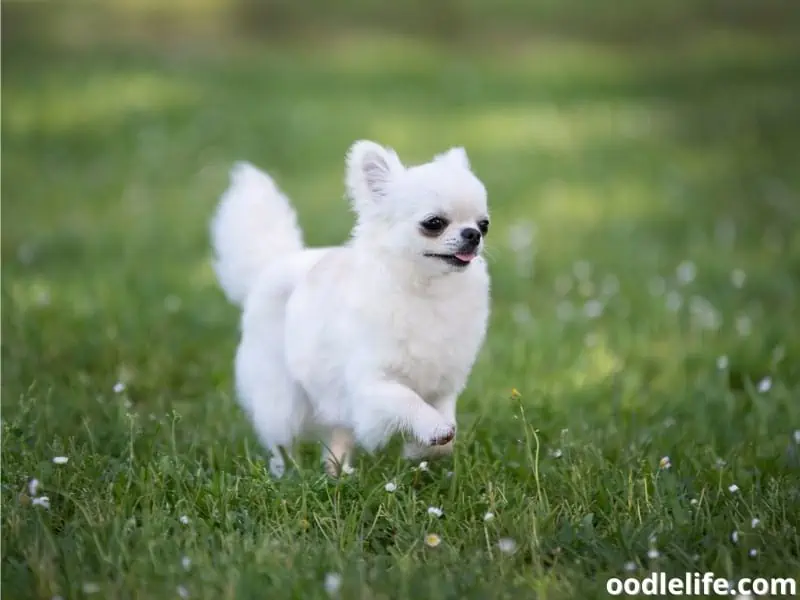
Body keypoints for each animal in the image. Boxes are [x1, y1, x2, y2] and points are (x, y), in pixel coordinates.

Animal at [209, 141, 490, 478]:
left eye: (484, 224)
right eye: (434, 223)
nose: (473, 234)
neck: (427, 290)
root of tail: (274, 264)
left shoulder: (444, 385)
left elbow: (448, 426)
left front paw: (421, 448)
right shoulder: (371, 384)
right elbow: (406, 399)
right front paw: (431, 428)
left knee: (337, 435)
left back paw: (337, 472)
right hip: (281, 397)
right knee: (282, 441)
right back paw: (286, 474)